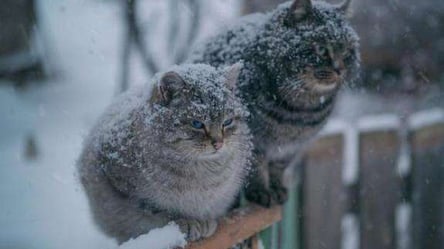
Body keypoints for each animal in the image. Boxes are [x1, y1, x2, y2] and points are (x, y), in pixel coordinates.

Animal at [77, 62, 251, 243]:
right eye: (197, 124)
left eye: (227, 122)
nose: (218, 143)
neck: (202, 171)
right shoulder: (125, 188)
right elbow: (160, 212)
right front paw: (187, 222)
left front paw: (204, 222)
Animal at [188, 0, 360, 206]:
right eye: (321, 49)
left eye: (347, 51)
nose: (340, 69)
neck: (299, 111)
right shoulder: (254, 141)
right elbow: (256, 168)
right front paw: (261, 192)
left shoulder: (291, 148)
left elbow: (278, 168)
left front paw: (277, 189)